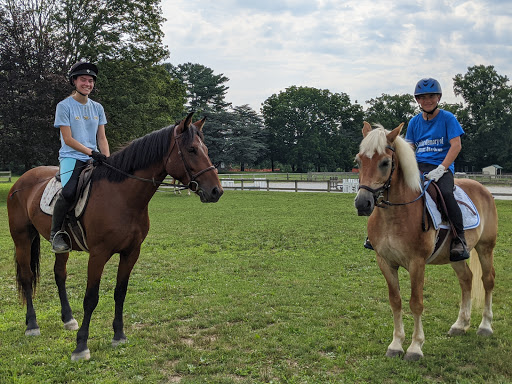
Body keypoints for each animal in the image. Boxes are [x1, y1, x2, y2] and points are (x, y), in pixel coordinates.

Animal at [6, 111, 222, 360]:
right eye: (192, 150)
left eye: (205, 148)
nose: (216, 191)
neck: (122, 196)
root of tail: (21, 181)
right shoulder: (98, 254)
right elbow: (91, 298)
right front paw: (81, 346)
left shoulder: (131, 252)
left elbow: (120, 292)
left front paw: (119, 335)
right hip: (22, 238)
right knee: (27, 277)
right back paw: (32, 325)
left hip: (61, 245)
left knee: (59, 274)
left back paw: (68, 319)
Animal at [354, 122, 494, 360]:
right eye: (359, 160)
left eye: (385, 162)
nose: (363, 203)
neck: (395, 215)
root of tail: (483, 188)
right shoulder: (385, 262)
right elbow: (395, 301)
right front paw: (395, 344)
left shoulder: (417, 263)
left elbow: (416, 303)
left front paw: (415, 347)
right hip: (456, 255)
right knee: (466, 279)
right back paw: (460, 325)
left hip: (486, 248)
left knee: (487, 280)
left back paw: (485, 326)